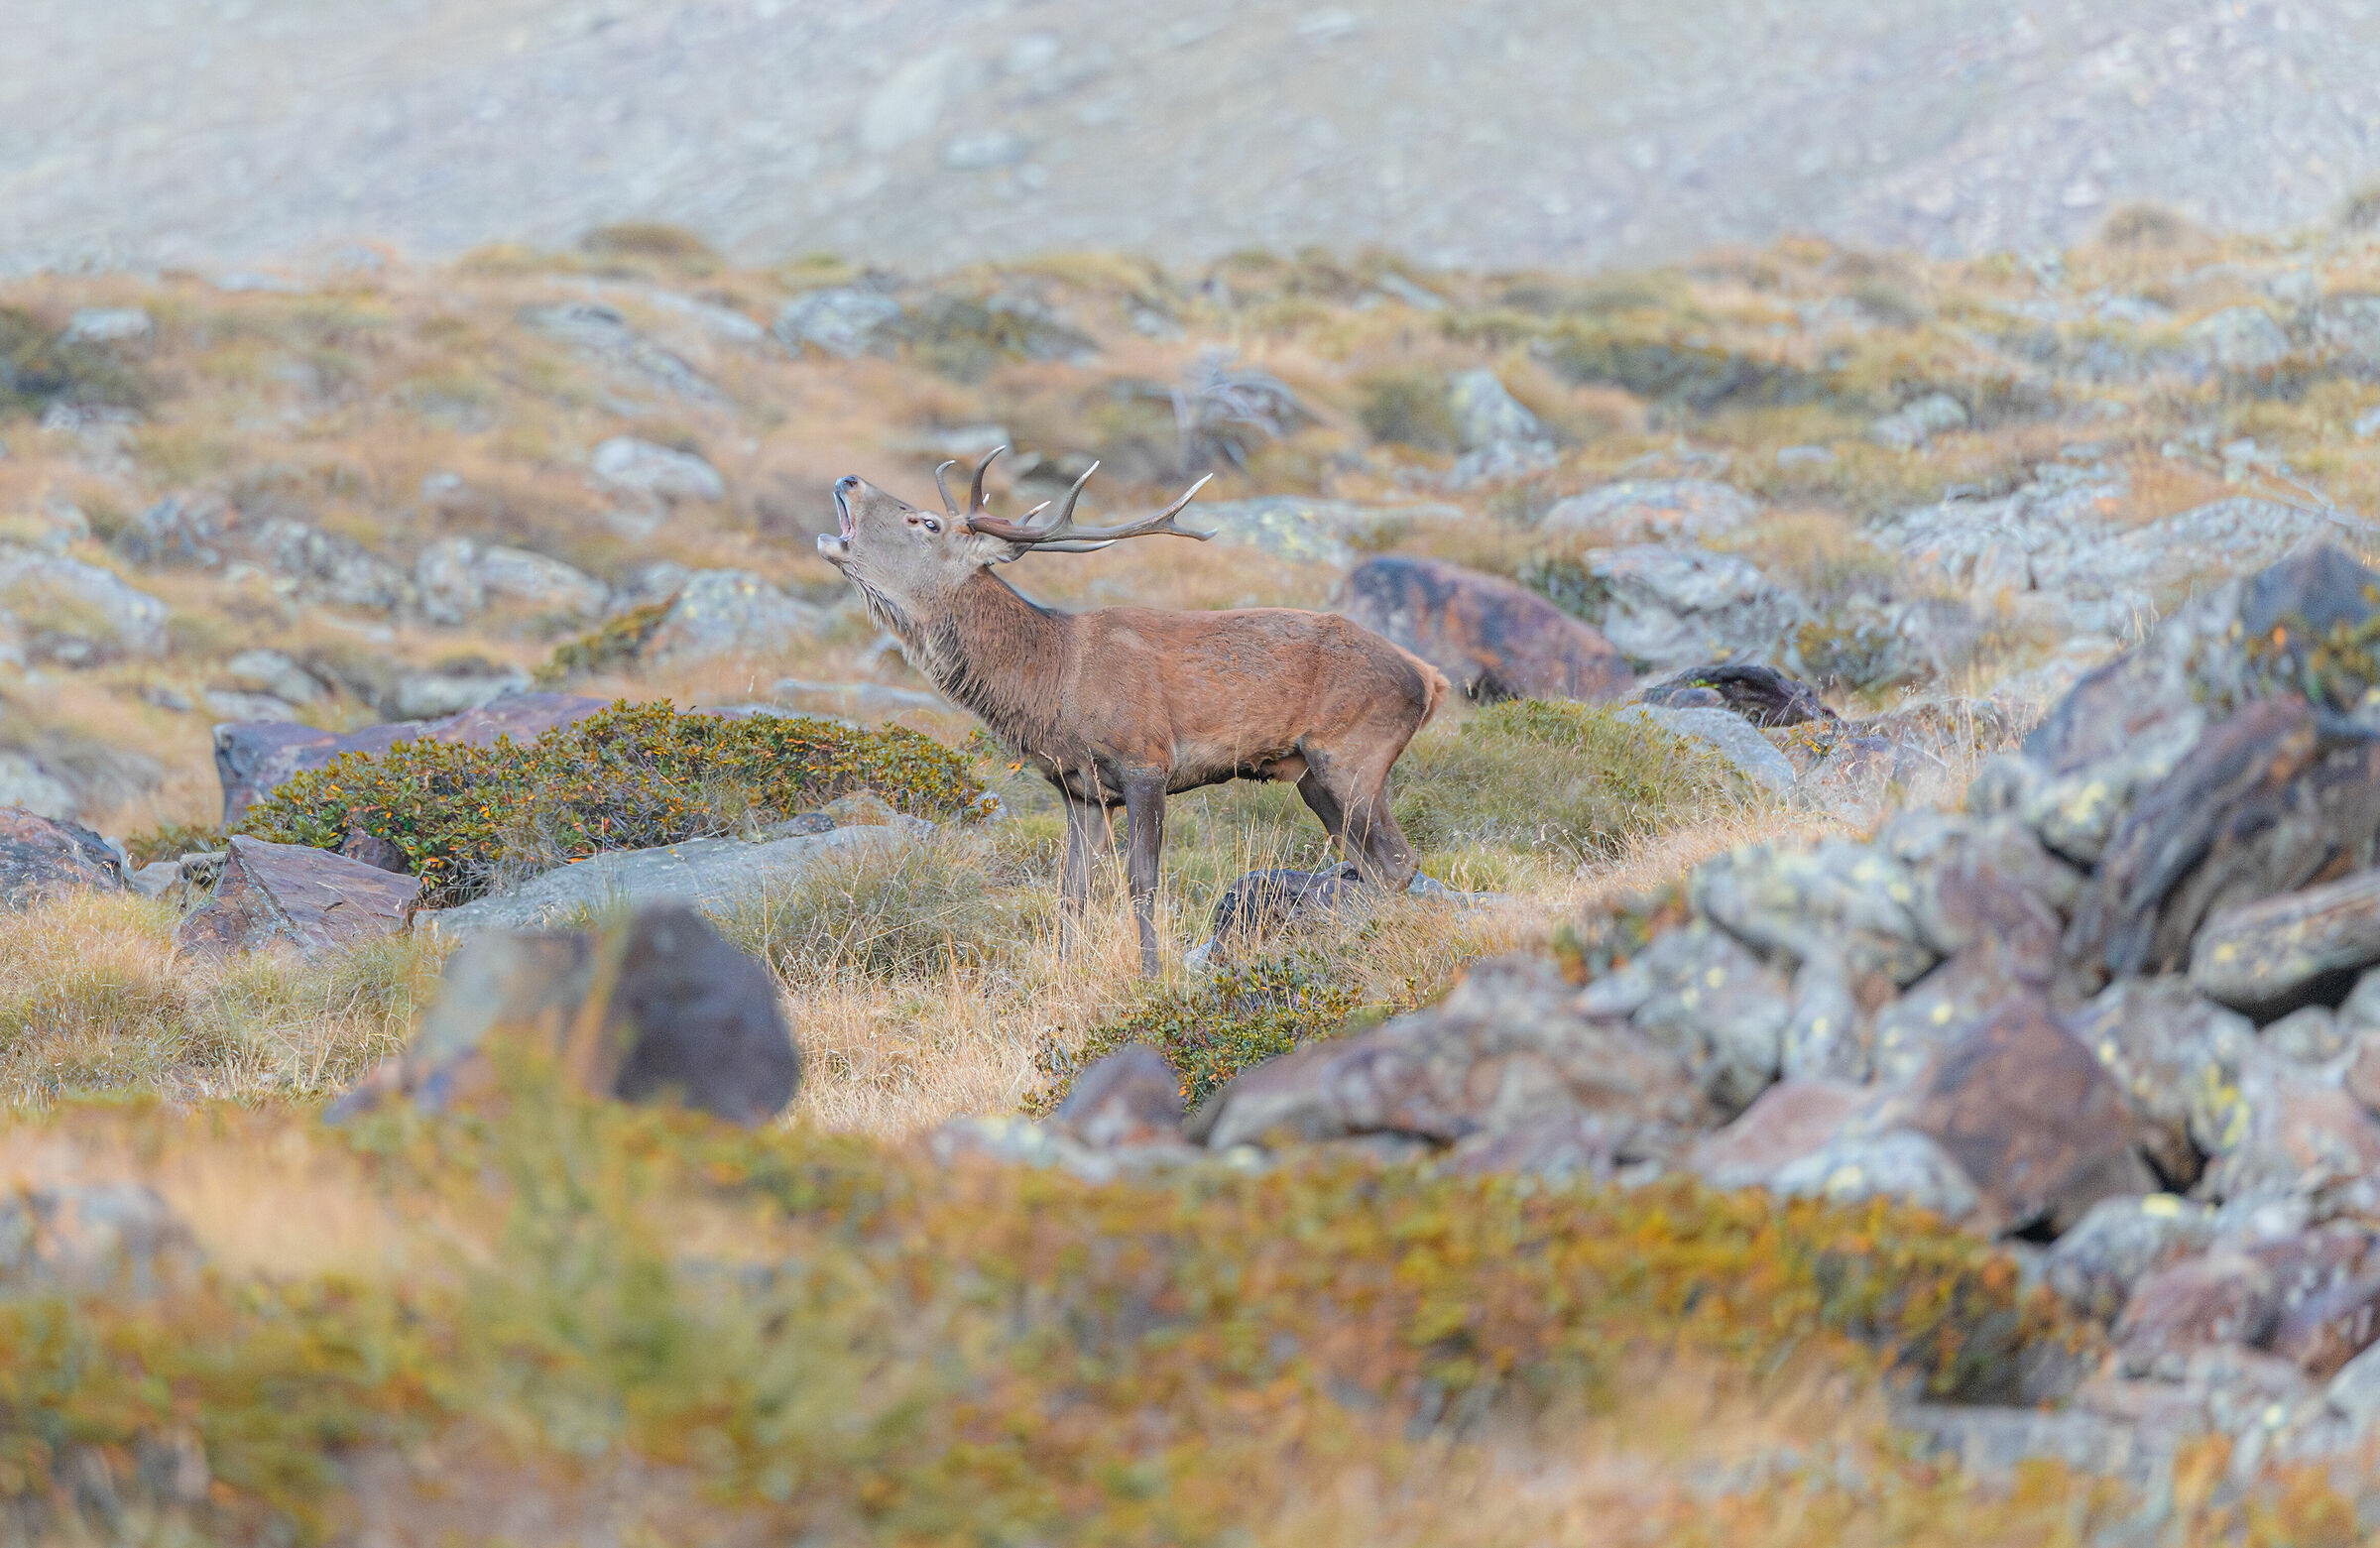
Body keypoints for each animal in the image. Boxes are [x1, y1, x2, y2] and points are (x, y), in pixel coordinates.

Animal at [818, 448, 1448, 975]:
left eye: (926, 522)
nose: (848, 477)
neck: (1055, 685)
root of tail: (1430, 677)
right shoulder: (1080, 791)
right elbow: (1071, 891)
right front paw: (1065, 975)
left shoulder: (1147, 762)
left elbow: (1142, 881)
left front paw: (1150, 975)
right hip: (1310, 775)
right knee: (1369, 864)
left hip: (1352, 752)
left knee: (1399, 862)